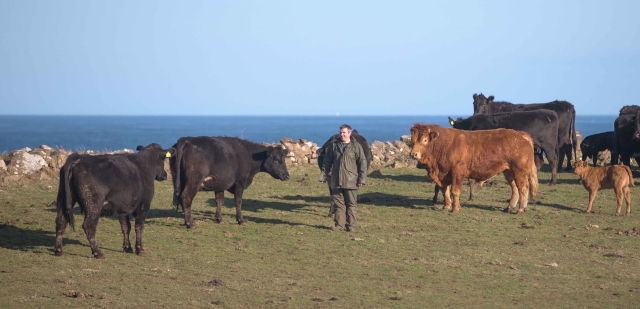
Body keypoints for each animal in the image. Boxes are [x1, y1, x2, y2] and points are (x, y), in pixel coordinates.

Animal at [408, 122, 536, 212]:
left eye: (425, 140)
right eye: (412, 141)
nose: (413, 154)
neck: (445, 145)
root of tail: (520, 134)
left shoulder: (457, 173)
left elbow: (455, 191)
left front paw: (455, 208)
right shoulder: (443, 175)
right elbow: (445, 190)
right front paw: (447, 206)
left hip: (519, 171)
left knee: (523, 188)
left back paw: (521, 209)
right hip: (509, 172)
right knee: (515, 189)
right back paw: (509, 207)